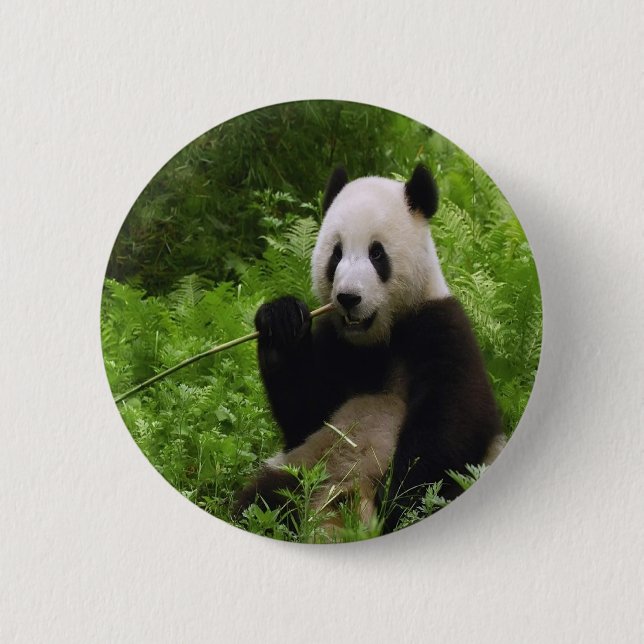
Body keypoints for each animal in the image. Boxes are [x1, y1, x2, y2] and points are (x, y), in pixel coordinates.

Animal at [235, 163, 504, 536]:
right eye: (336, 254)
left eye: (377, 254)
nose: (348, 298)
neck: (376, 339)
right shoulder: (336, 344)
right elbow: (306, 414)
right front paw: (282, 321)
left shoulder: (439, 326)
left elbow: (454, 419)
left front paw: (397, 498)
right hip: (304, 467)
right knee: (262, 501)